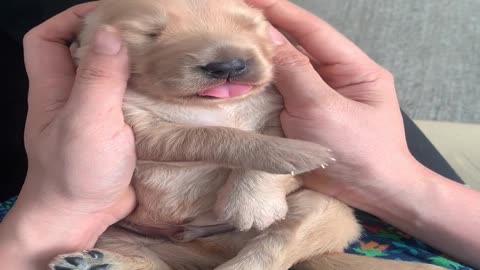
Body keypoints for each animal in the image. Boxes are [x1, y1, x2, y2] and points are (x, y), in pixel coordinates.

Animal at [50, 0, 444, 270]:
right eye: (151, 34)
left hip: (328, 212)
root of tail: (202, 250)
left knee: (275, 245)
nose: (228, 65)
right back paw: (97, 262)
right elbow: (213, 136)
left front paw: (252, 202)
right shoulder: (139, 127)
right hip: (116, 231)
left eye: (252, 26)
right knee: (153, 261)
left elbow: (272, 142)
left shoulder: (282, 111)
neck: (216, 106)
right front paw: (293, 153)